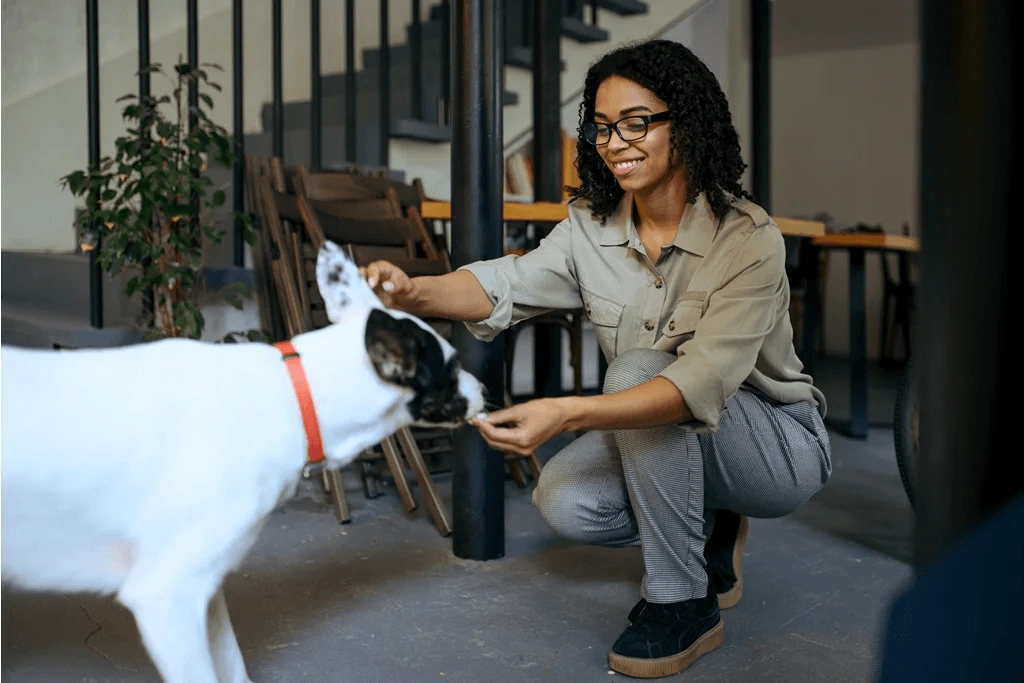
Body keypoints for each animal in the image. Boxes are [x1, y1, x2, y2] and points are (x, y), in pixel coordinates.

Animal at [1, 242, 487, 683]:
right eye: (452, 368)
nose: (485, 388)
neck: (293, 395)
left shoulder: (205, 590)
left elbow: (232, 667)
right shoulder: (168, 596)